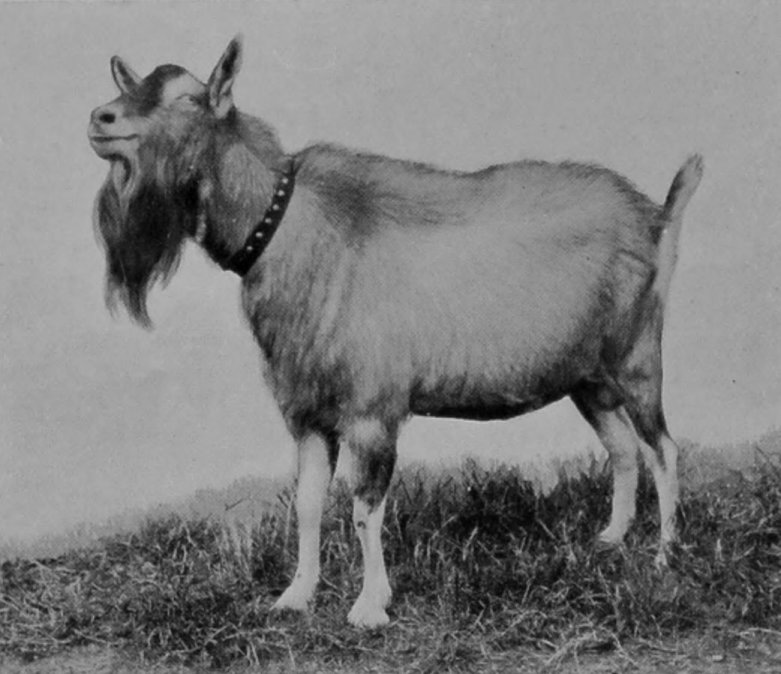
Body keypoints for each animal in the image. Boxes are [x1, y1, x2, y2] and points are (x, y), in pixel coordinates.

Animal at [88, 36, 703, 628]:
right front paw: (295, 597)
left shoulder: (371, 412)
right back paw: (611, 540)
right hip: (587, 377)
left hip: (637, 355)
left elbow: (364, 510)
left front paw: (370, 607)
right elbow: (307, 504)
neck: (289, 227)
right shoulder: (307, 413)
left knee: (663, 448)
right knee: (622, 447)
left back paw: (664, 556)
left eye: (188, 97)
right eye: (136, 85)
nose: (101, 118)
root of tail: (656, 219)